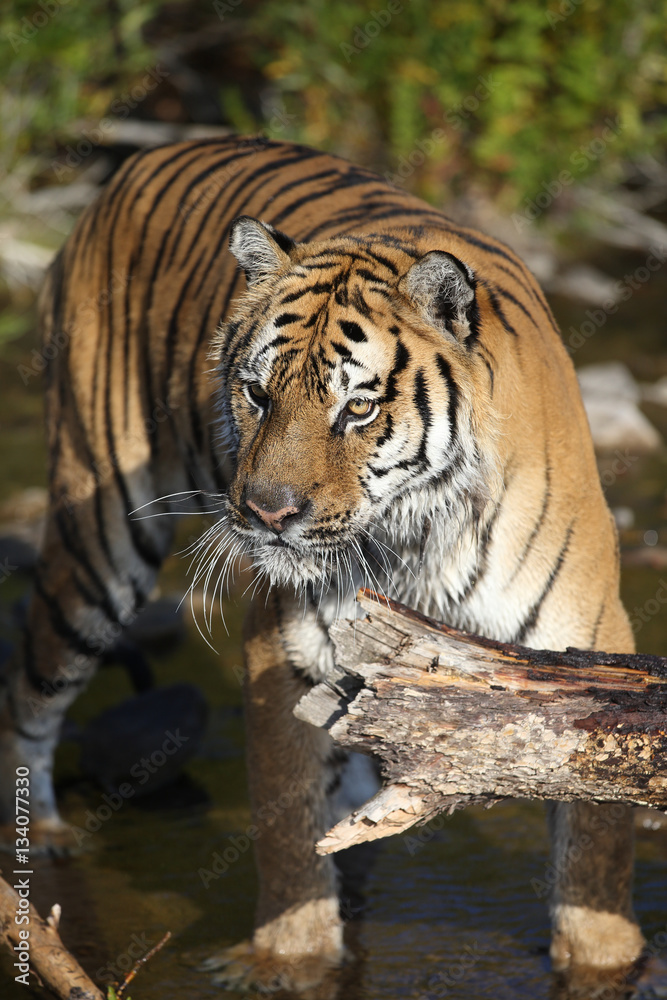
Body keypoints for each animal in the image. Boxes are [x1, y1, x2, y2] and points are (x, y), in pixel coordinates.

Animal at [0, 135, 644, 991]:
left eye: (357, 408)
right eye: (256, 394)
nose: (266, 513)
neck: (414, 538)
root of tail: (140, 158)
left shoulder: (587, 652)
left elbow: (595, 849)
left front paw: (607, 967)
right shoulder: (285, 647)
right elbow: (285, 823)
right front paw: (289, 958)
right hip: (97, 538)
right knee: (27, 690)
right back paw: (43, 835)